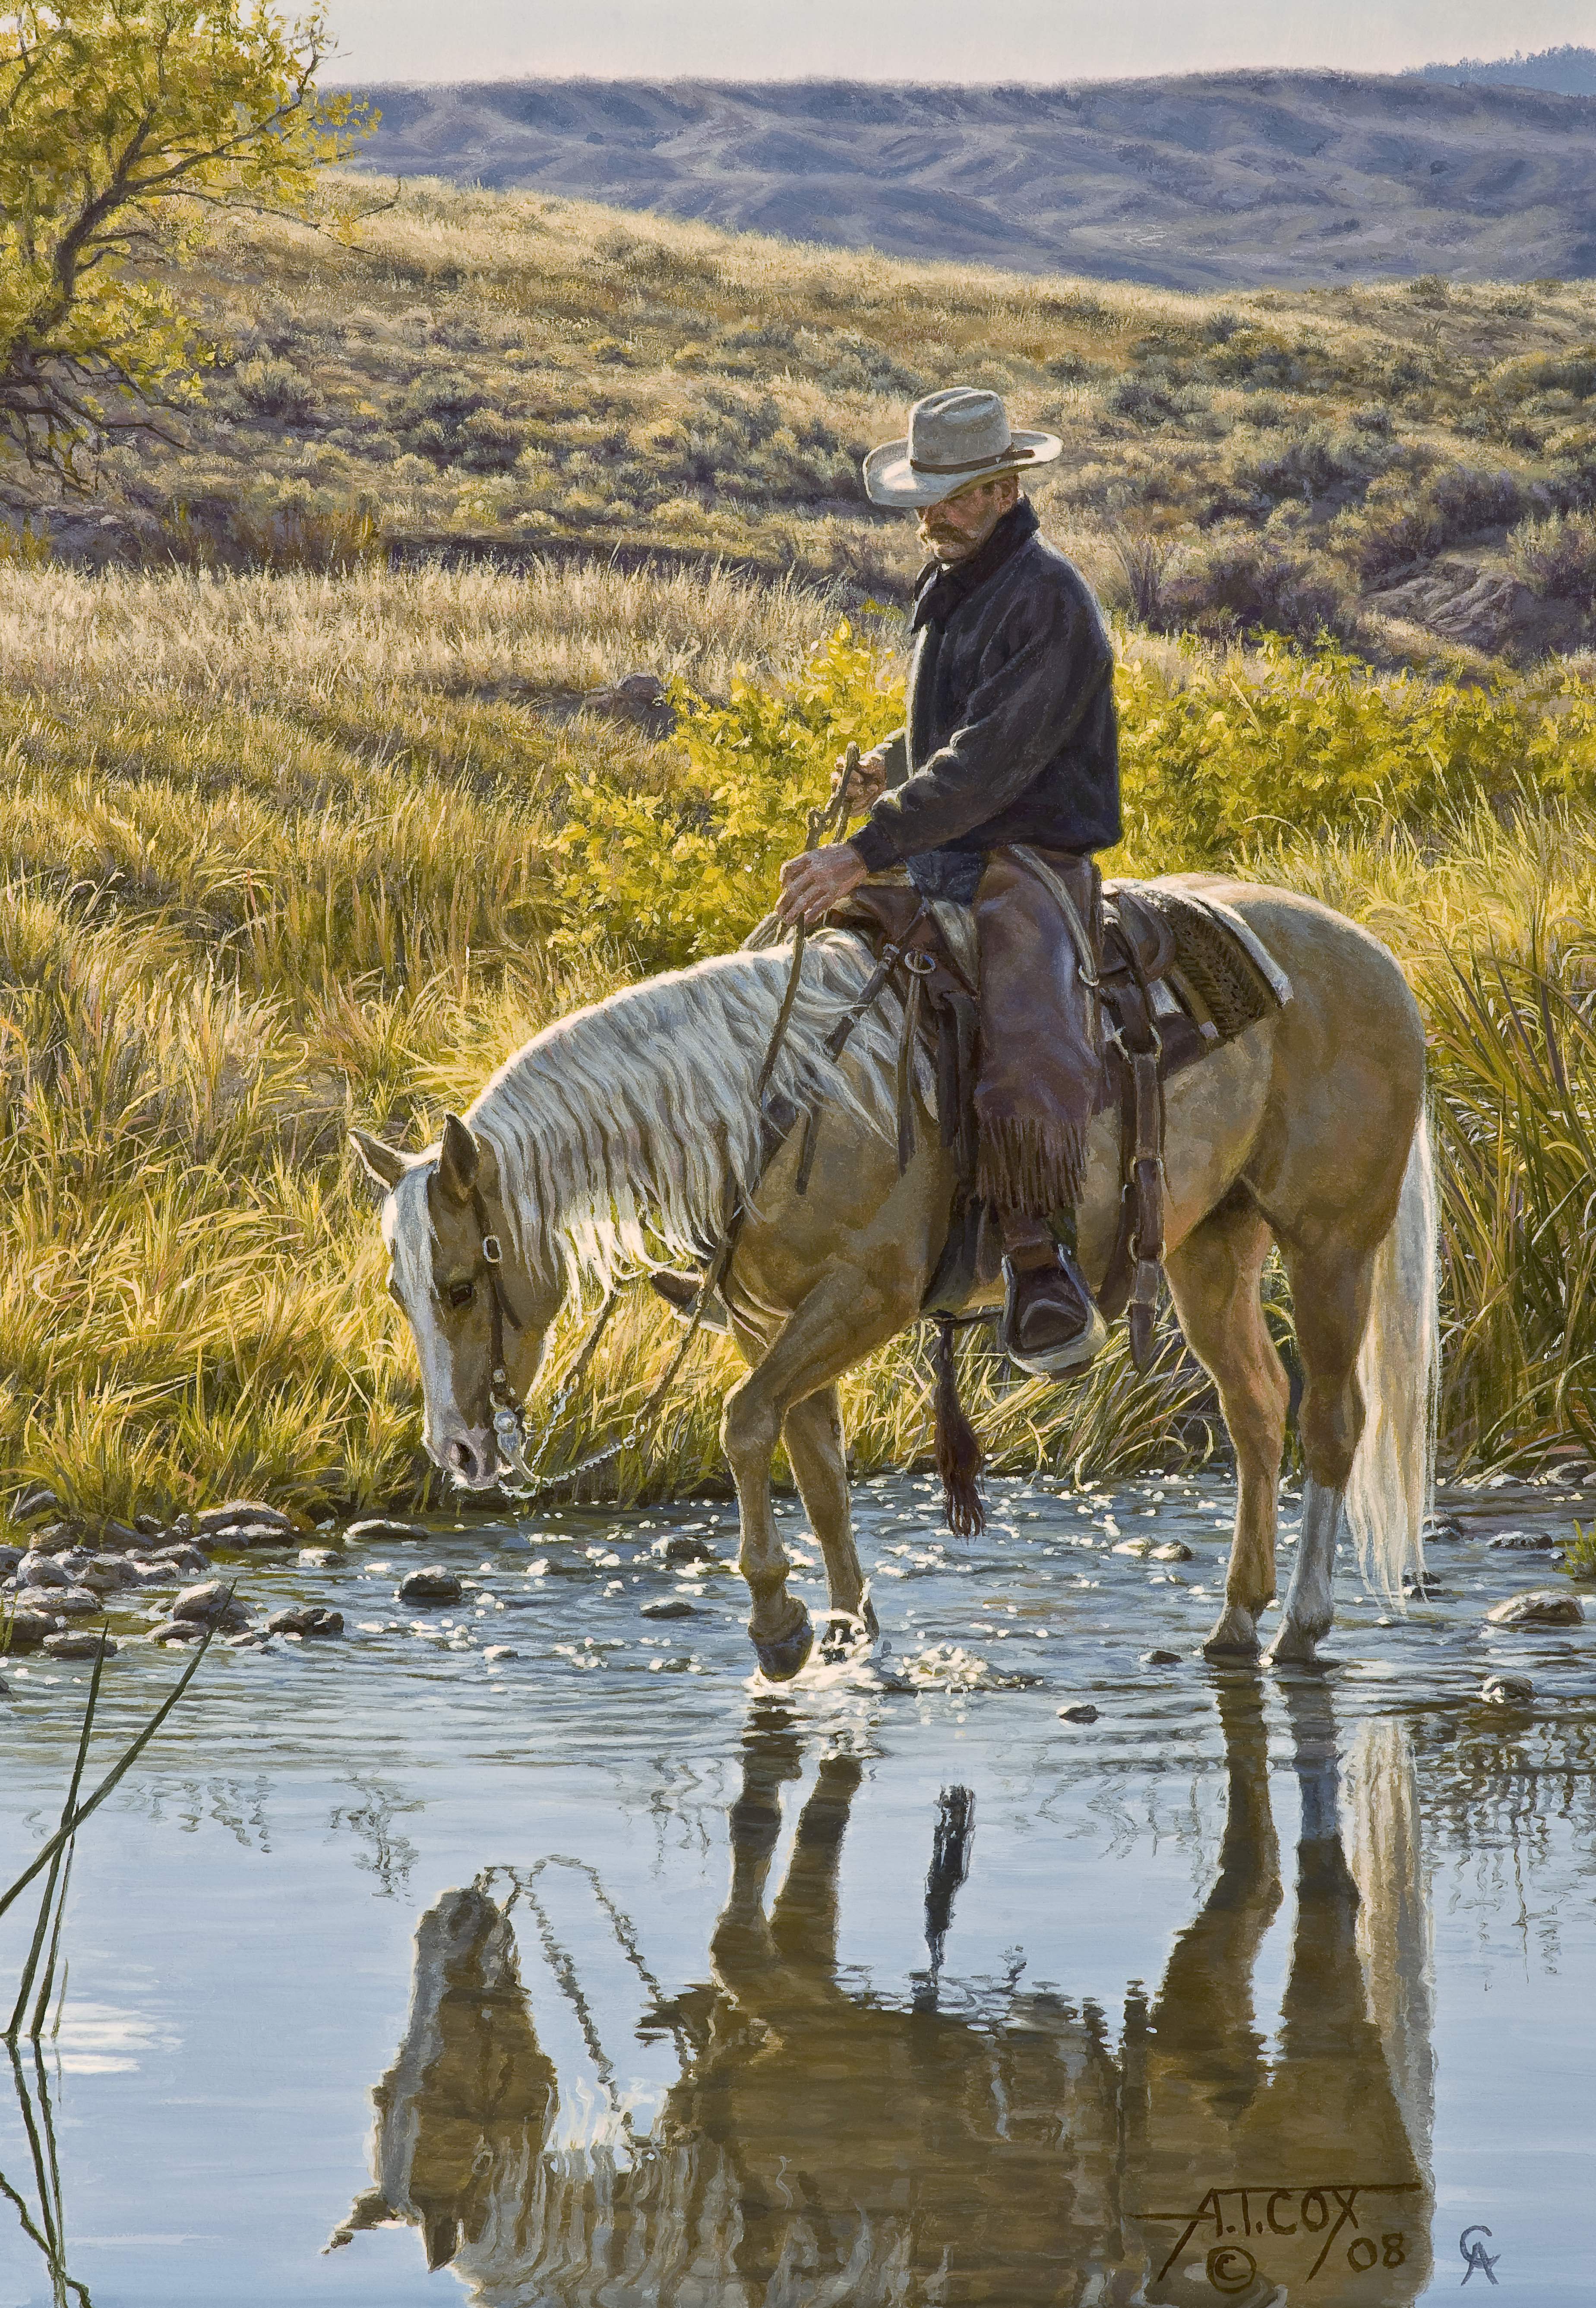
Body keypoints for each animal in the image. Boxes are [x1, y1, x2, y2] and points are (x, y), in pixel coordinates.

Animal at [355, 872, 1439, 1671]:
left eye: (460, 1285)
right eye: (402, 1292)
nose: (458, 1451)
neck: (782, 1106)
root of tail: (1375, 957)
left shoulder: (862, 1299)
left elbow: (742, 1424)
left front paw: (776, 1621)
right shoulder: (772, 1322)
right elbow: (815, 1469)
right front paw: (845, 1626)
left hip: (1331, 1245)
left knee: (1330, 1421)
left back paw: (1301, 1622)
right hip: (1210, 1245)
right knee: (1256, 1410)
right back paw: (1235, 1622)